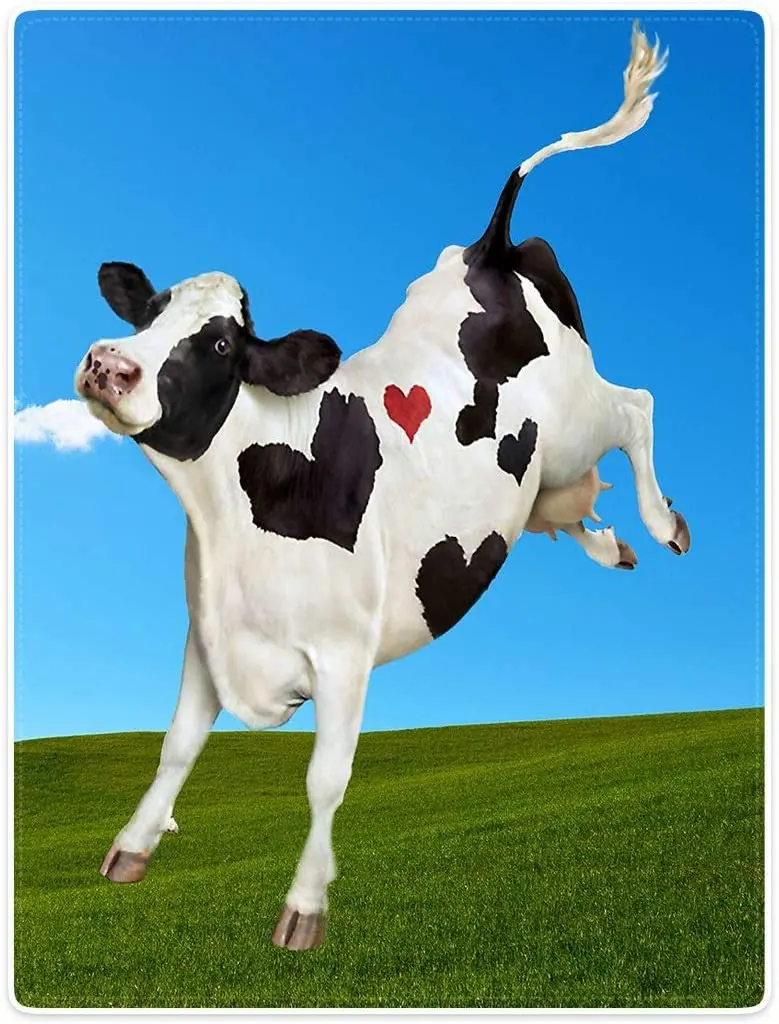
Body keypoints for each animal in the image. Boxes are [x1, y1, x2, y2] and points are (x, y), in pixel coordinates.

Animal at [74, 24, 687, 951]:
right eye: (147, 314)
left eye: (218, 345)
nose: (108, 364)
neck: (230, 516)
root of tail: (489, 248)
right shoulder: (207, 634)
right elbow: (176, 745)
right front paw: (131, 848)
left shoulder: (341, 657)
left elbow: (324, 780)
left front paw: (304, 907)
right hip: (536, 467)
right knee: (560, 501)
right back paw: (612, 546)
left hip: (581, 412)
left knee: (638, 407)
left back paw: (659, 523)